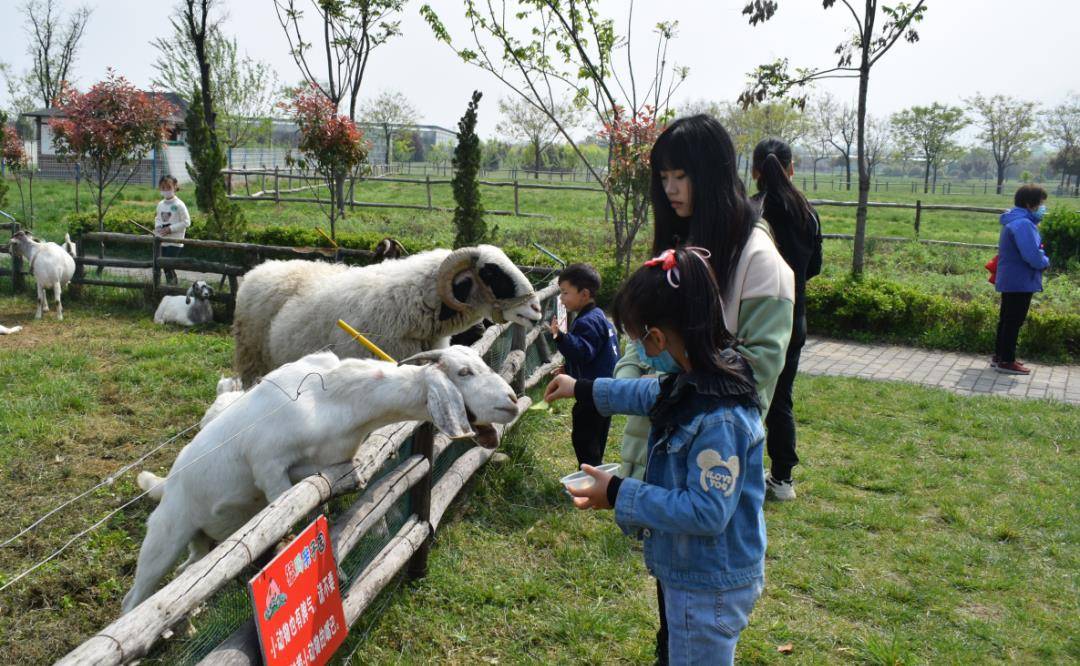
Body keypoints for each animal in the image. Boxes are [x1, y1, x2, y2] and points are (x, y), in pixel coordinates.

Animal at [124, 345, 520, 617]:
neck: (336, 400)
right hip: (165, 536)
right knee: (137, 597)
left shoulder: (331, 463)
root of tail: (167, 483)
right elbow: (292, 514)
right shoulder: (267, 464)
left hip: (202, 540)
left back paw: (190, 616)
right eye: (464, 371)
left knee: (187, 572)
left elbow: (323, 513)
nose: (512, 401)